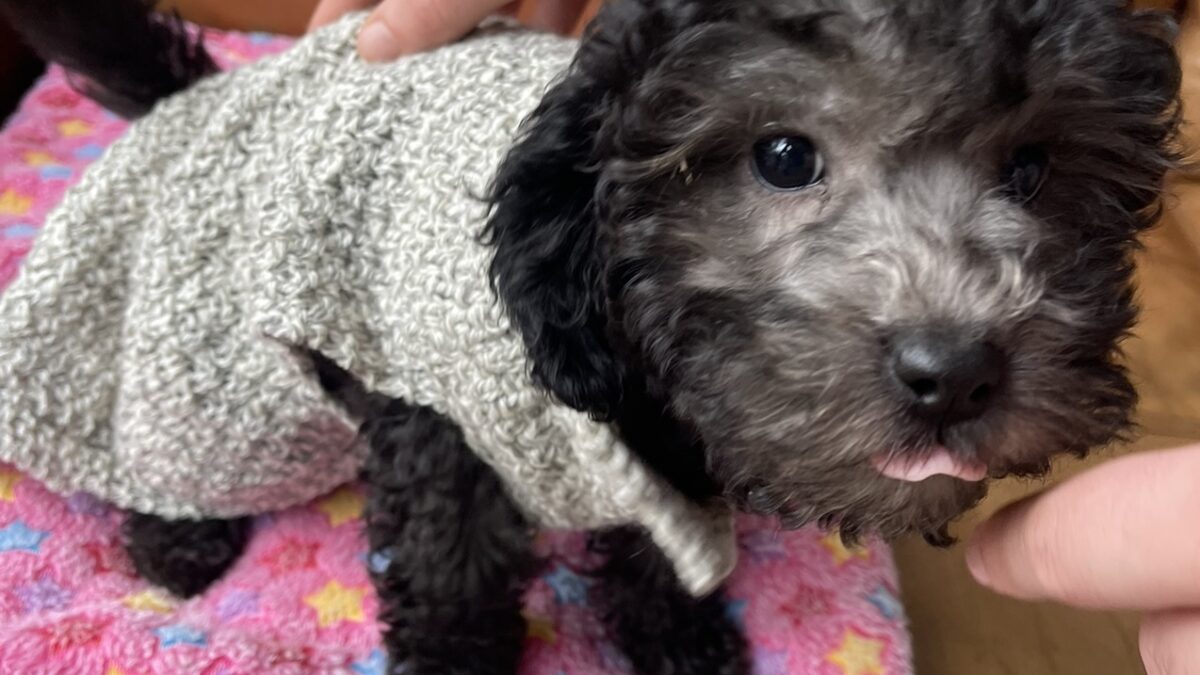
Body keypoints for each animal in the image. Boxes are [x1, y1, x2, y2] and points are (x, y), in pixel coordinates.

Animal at [0, 1, 1180, 672]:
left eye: (1032, 169)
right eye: (784, 155)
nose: (958, 371)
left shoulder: (669, 471)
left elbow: (659, 553)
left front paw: (674, 639)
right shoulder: (435, 418)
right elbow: (451, 562)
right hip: (204, 346)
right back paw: (174, 538)